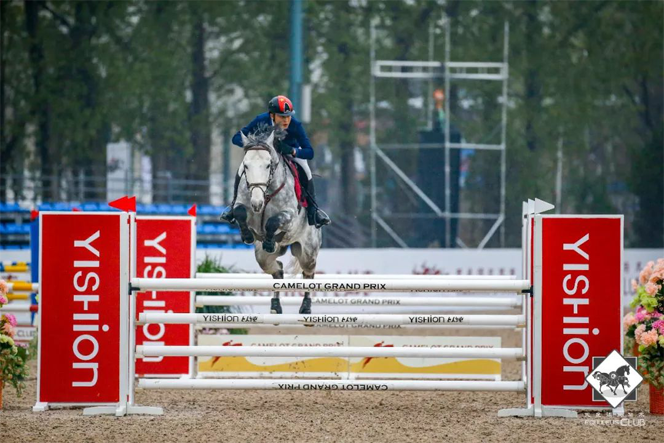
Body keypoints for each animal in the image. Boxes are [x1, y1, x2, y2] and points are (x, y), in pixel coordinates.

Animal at [228, 125, 322, 316]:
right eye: (246, 166)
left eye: (268, 165)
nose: (257, 203)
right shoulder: (243, 205)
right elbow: (239, 212)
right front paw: (247, 236)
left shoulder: (289, 215)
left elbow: (273, 221)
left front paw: (269, 241)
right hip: (262, 256)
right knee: (277, 269)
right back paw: (275, 307)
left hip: (308, 251)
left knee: (308, 273)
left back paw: (306, 307)